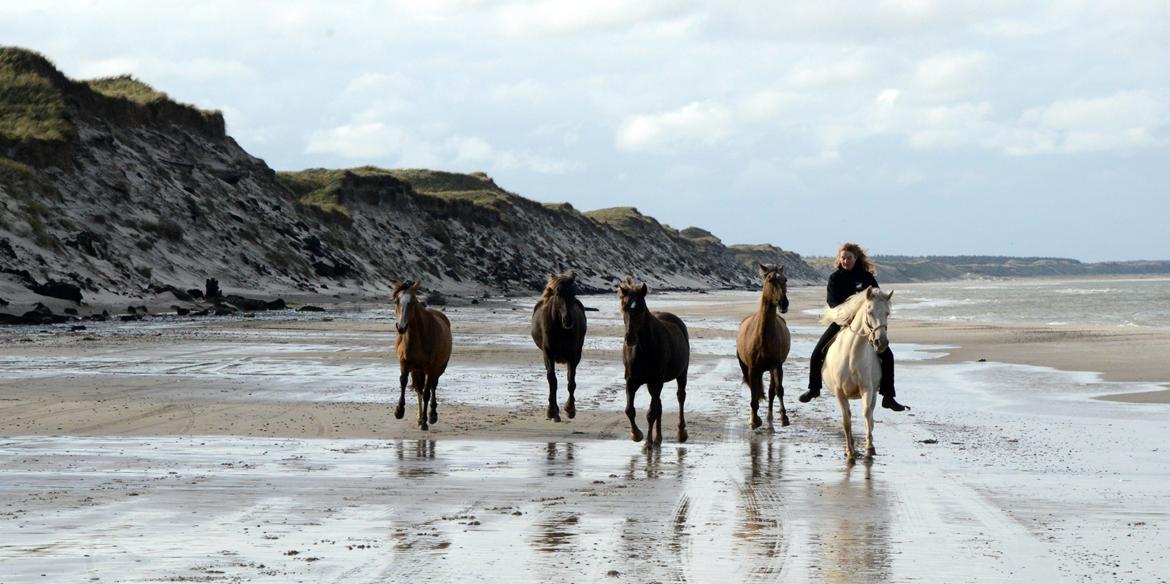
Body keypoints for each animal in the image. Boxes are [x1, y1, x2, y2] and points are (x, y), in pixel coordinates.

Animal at [390, 280, 449, 433]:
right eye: (397, 301)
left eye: (412, 302)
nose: (401, 327)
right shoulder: (405, 364)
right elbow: (403, 382)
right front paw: (399, 411)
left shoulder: (430, 368)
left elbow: (428, 392)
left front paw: (425, 421)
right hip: (417, 371)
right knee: (419, 390)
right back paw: (419, 418)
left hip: (438, 368)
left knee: (432, 387)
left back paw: (431, 415)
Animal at [531, 271, 585, 423]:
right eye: (558, 294)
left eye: (573, 293)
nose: (568, 320)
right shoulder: (548, 354)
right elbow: (552, 381)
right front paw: (552, 412)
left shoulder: (573, 355)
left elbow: (571, 381)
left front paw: (570, 409)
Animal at [617, 276, 687, 444]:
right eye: (624, 307)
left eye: (641, 308)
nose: (630, 338)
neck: (644, 349)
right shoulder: (631, 381)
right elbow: (630, 410)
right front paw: (637, 434)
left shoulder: (656, 382)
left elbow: (651, 413)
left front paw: (647, 441)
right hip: (651, 384)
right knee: (659, 406)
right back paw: (658, 437)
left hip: (681, 374)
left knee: (680, 397)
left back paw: (681, 433)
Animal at [734, 264, 790, 430]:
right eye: (770, 279)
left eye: (785, 279)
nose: (783, 303)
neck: (763, 335)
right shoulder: (753, 369)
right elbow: (754, 394)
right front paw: (754, 420)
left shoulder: (777, 365)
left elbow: (778, 390)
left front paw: (784, 418)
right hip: (748, 368)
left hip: (771, 369)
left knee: (772, 391)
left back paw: (770, 417)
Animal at [823, 287, 893, 461]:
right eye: (870, 311)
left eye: (887, 313)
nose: (881, 343)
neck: (851, 353)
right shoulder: (840, 393)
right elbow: (846, 421)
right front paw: (850, 451)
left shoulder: (867, 388)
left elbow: (867, 415)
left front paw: (869, 448)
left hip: (874, 392)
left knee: (871, 415)